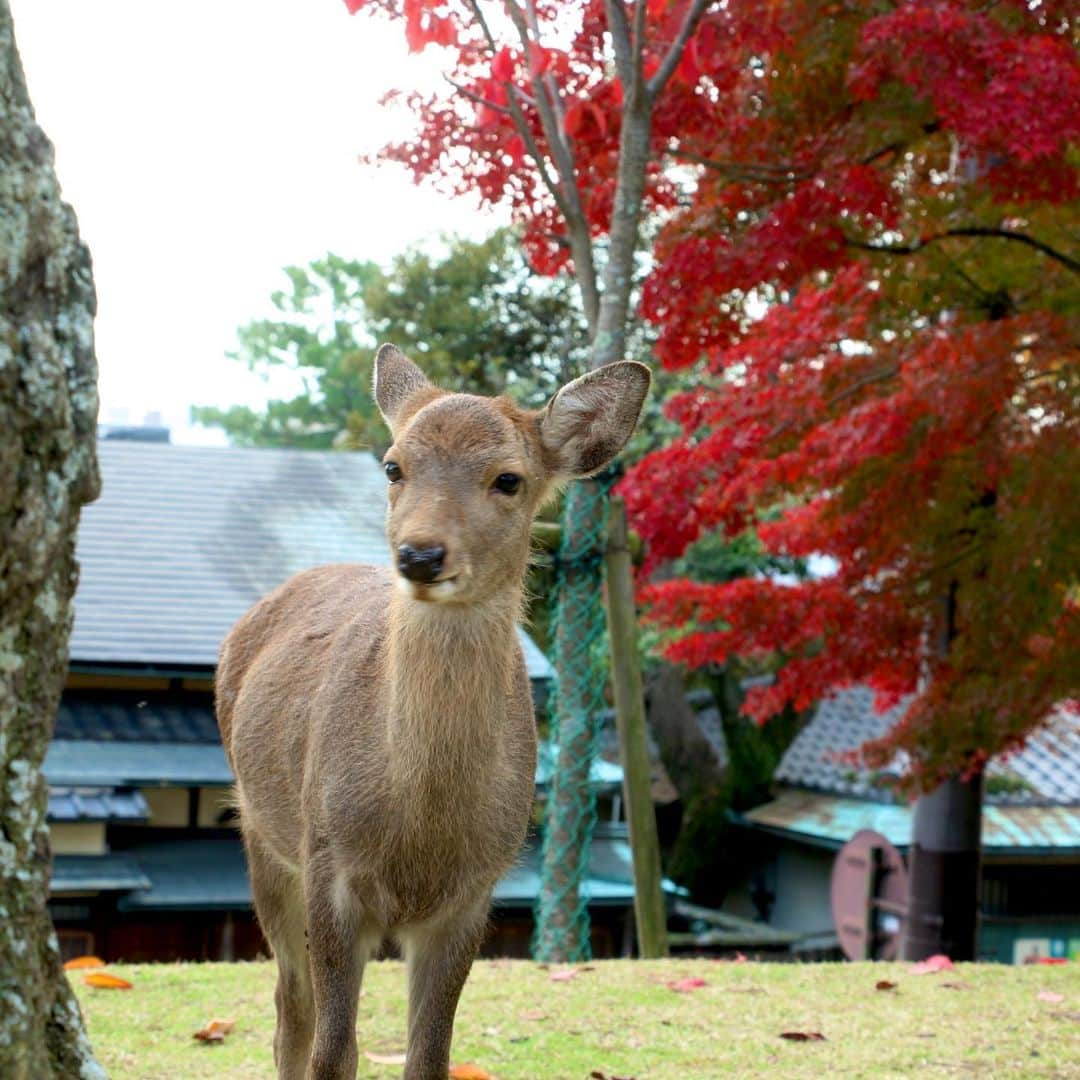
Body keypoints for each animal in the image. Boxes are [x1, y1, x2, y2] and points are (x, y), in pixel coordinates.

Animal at [214, 347, 643, 1080]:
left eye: (508, 478)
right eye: (394, 466)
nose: (419, 554)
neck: (418, 832)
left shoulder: (472, 897)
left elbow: (430, 1056)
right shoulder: (329, 867)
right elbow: (335, 1052)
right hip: (262, 836)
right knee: (290, 1008)